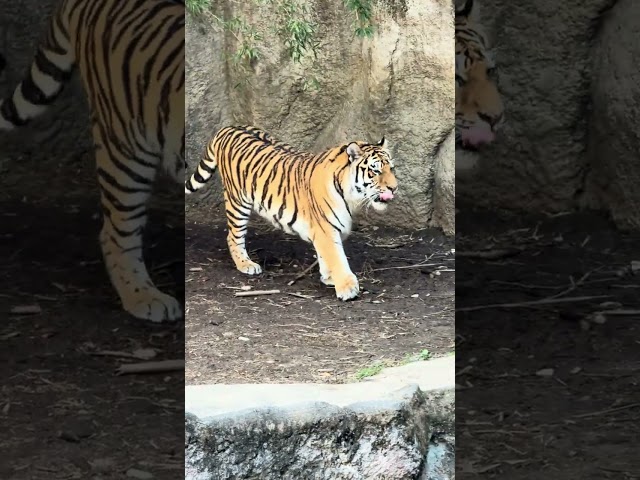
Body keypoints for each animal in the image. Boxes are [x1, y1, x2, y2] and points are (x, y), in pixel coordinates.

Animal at [185, 125, 398, 301]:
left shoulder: (327, 230)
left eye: (392, 168)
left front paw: (329, 277)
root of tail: (227, 128)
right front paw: (347, 287)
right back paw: (246, 264)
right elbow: (337, 258)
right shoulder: (326, 229)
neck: (349, 194)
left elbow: (325, 256)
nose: (394, 188)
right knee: (233, 236)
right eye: (375, 171)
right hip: (237, 202)